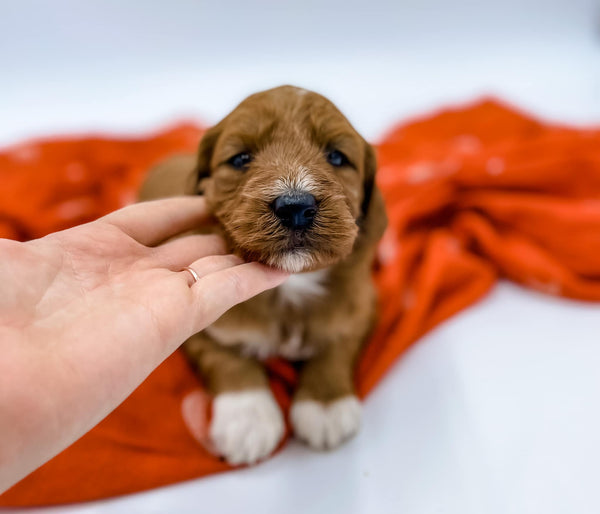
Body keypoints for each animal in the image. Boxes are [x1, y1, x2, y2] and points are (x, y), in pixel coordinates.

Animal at [139, 85, 386, 464]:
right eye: (241, 158)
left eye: (336, 157)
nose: (295, 206)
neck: (292, 285)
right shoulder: (197, 328)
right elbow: (227, 360)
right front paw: (248, 419)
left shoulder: (363, 306)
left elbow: (338, 345)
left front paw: (325, 404)